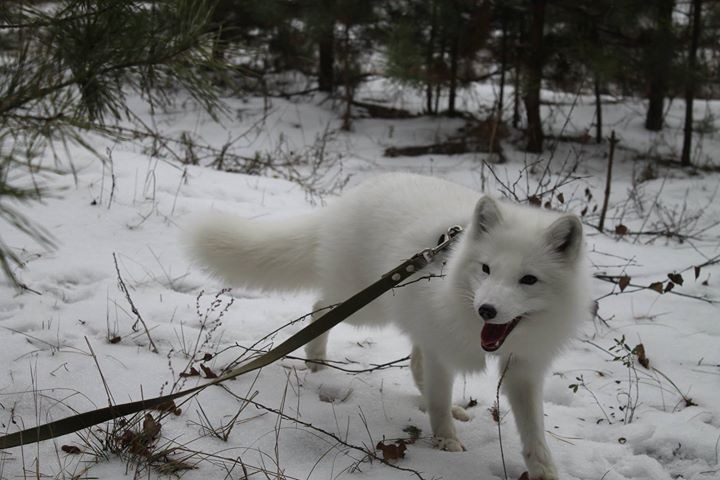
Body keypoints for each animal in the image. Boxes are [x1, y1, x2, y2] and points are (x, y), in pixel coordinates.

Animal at [188, 173, 588, 480]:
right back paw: (315, 362)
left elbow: (534, 431)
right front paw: (446, 442)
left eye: (528, 280)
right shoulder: (443, 349)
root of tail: (353, 196)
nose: (486, 310)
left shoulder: (524, 369)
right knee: (320, 308)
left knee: (413, 359)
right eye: (486, 269)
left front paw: (545, 471)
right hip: (366, 304)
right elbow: (439, 400)